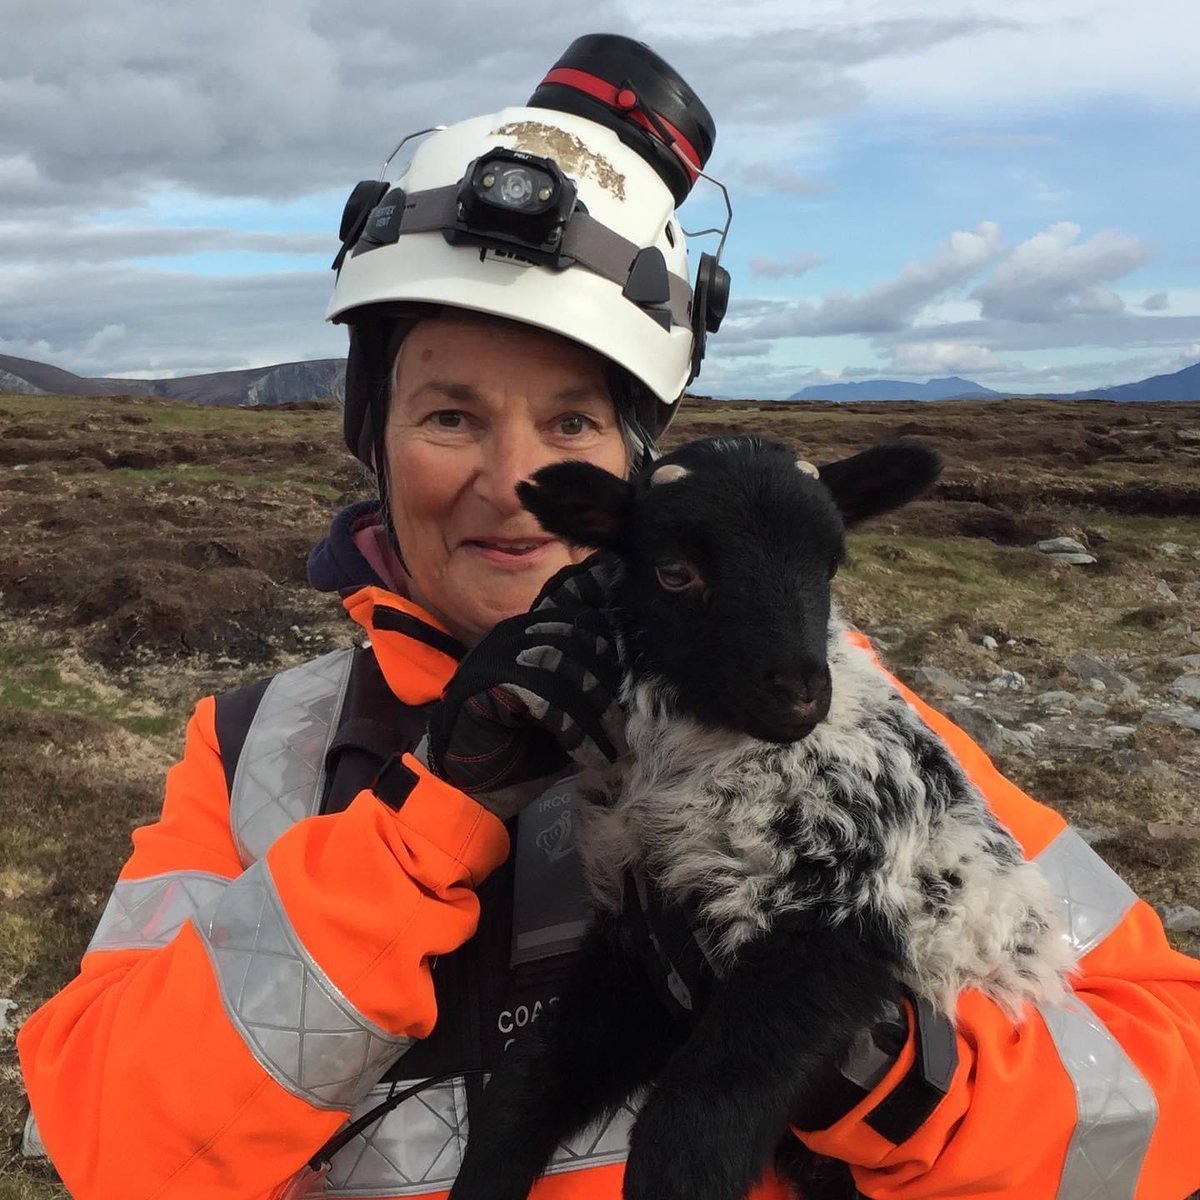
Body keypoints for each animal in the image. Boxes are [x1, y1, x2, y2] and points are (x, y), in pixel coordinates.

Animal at [447, 435, 1076, 1200]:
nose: (800, 693)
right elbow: (529, 1082)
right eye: (675, 571)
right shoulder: (641, 944)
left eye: (829, 563)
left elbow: (693, 1125)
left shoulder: (836, 925)